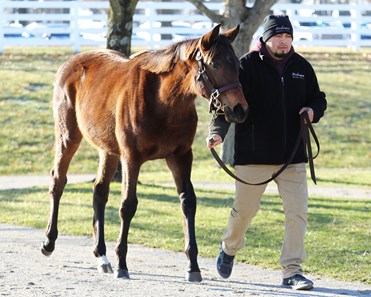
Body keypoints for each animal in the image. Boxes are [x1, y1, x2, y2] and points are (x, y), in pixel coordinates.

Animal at [40, 22, 248, 280]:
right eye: (216, 64)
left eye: (236, 63)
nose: (240, 109)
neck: (164, 101)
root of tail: (70, 63)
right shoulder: (131, 158)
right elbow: (128, 205)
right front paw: (122, 264)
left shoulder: (180, 156)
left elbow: (188, 202)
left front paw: (193, 266)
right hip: (68, 136)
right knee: (58, 181)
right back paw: (49, 242)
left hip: (108, 150)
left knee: (99, 191)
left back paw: (102, 256)